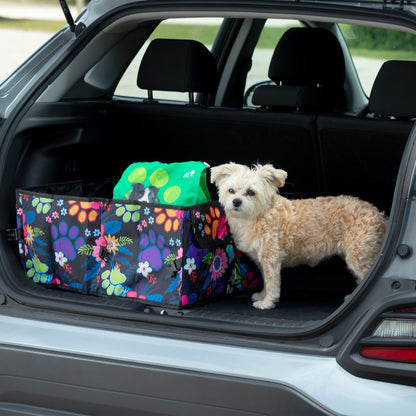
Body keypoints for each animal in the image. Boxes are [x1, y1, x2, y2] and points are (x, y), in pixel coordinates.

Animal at [213, 162, 388, 308]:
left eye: (251, 192)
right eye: (231, 190)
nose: (236, 201)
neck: (258, 214)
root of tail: (379, 215)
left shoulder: (271, 257)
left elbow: (271, 283)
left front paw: (267, 302)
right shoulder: (262, 259)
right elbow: (266, 281)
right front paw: (263, 295)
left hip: (359, 256)